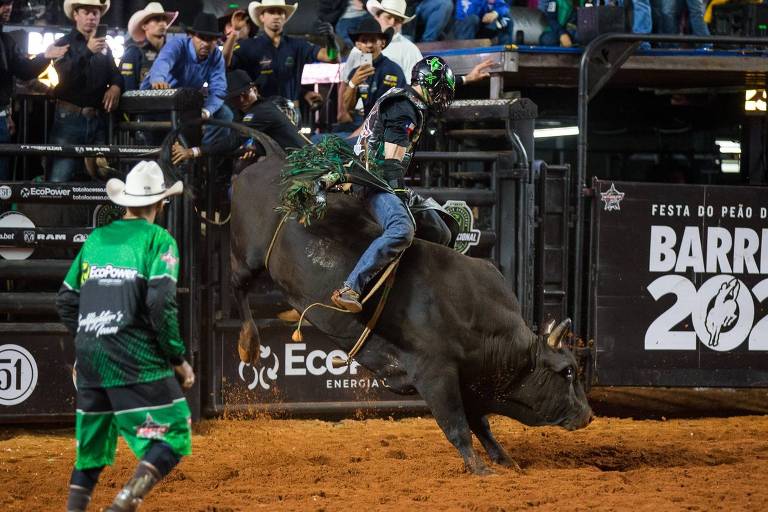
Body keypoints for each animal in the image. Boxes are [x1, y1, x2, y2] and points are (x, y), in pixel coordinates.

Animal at [230, 133, 592, 476]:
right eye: (568, 371)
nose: (588, 415)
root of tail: (275, 158)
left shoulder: (470, 380)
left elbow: (481, 424)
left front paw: (505, 460)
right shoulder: (435, 373)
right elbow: (457, 426)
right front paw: (479, 468)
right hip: (248, 256)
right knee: (239, 286)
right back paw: (249, 343)